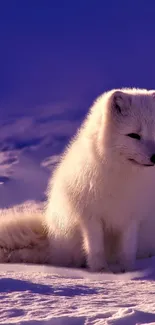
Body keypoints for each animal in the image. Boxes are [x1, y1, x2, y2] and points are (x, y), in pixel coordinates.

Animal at [0, 88, 155, 270]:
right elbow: (95, 248)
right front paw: (100, 271)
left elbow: (128, 250)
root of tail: (51, 237)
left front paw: (127, 270)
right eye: (133, 135)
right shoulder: (90, 216)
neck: (123, 177)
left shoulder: (132, 217)